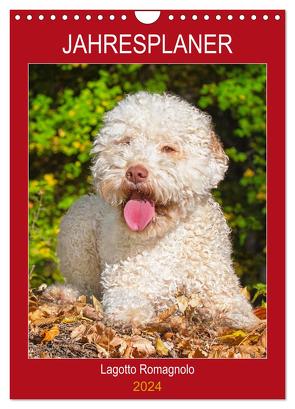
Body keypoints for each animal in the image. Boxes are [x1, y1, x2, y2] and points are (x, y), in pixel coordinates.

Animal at [56, 91, 260, 328]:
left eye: (168, 148)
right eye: (126, 141)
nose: (135, 172)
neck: (164, 234)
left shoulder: (218, 286)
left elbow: (236, 308)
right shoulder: (124, 281)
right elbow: (127, 298)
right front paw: (131, 314)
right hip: (78, 223)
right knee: (85, 286)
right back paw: (62, 292)